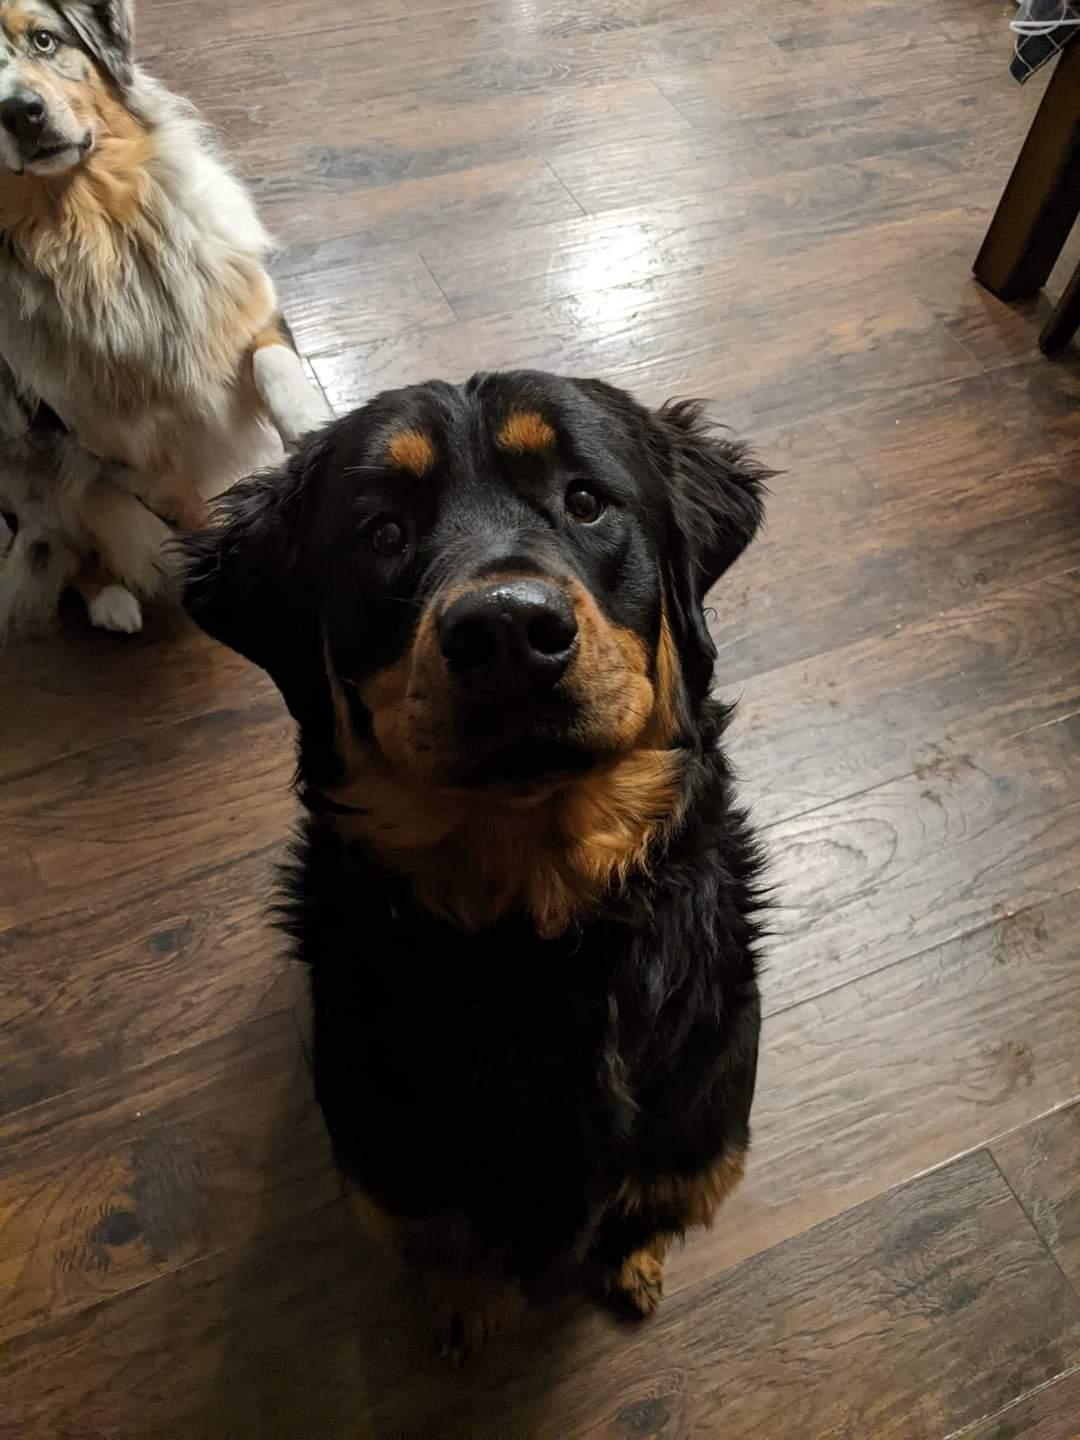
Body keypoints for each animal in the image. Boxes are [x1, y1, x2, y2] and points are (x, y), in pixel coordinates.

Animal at [182, 365, 771, 1353]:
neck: (536, 917)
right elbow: (451, 1242)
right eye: (382, 533)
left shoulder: (698, 1134)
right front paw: (469, 1305)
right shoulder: (394, 1173)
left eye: (586, 501)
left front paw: (632, 1257)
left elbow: (643, 1204)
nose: (507, 633)